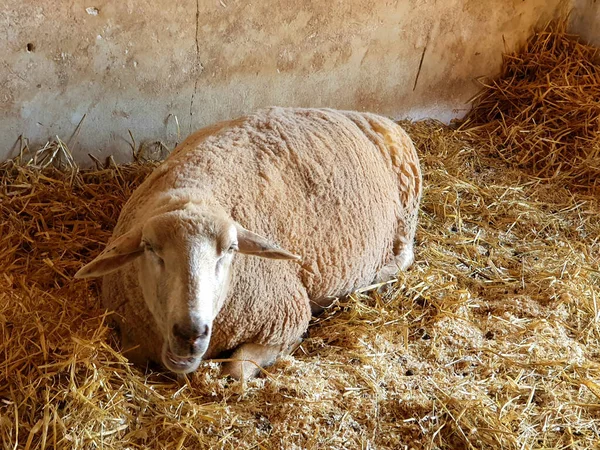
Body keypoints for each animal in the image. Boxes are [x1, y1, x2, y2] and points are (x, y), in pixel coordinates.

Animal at [75, 107, 422, 378]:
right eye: (150, 249)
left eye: (230, 249)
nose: (191, 333)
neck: (193, 190)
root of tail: (364, 114)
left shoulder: (288, 318)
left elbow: (236, 370)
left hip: (407, 208)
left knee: (405, 254)